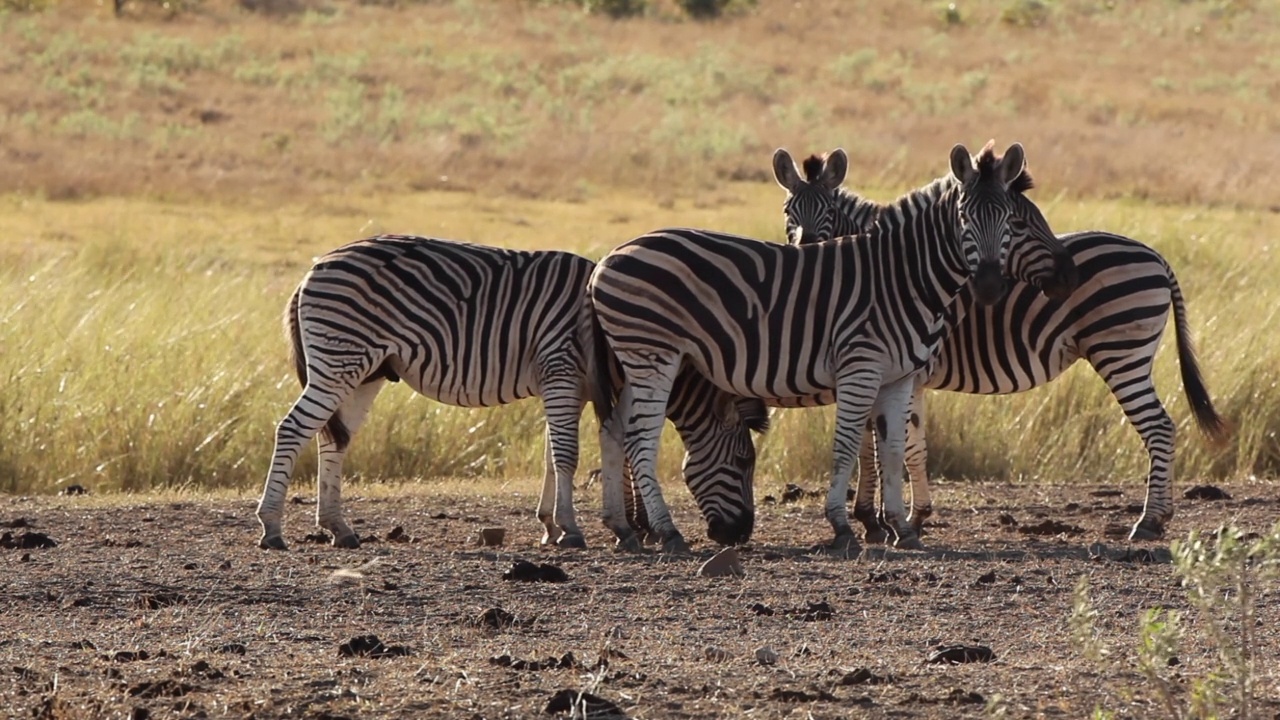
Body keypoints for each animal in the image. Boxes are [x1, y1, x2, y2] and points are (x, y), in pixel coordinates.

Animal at [254, 235, 762, 548]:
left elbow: (553, 455)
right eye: (743, 462)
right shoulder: (560, 370)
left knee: (332, 438)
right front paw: (571, 530)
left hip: (365, 371)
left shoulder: (569, 386)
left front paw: (550, 527)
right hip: (339, 359)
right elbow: (567, 456)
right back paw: (272, 527)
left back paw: (338, 528)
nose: (740, 535)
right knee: (292, 429)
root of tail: (311, 271)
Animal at [586, 141, 1075, 556]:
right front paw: (844, 528)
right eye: (964, 218)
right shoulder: (860, 368)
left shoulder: (898, 377)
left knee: (615, 429)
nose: (990, 286)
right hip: (654, 355)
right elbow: (847, 446)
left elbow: (892, 450)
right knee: (641, 437)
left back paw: (626, 530)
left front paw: (901, 528)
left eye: (1010, 220)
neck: (903, 276)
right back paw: (668, 532)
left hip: (632, 361)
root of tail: (608, 258)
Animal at [778, 147, 1228, 538]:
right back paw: (1161, 516)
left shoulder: (888, 367)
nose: (807, 249)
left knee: (1159, 427)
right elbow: (908, 445)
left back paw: (1148, 521)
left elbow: (879, 445)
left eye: (829, 212)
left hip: (1121, 354)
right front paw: (911, 516)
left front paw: (874, 520)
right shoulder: (903, 374)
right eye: (788, 213)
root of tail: (1157, 256)